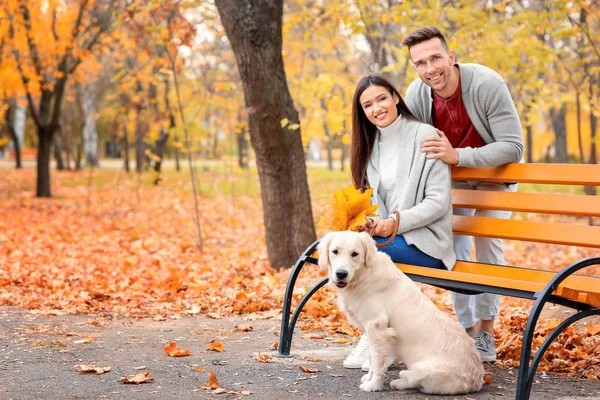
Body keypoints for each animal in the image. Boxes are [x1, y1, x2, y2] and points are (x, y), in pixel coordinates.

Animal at [318, 231, 482, 394]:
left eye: (355, 254)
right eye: (335, 251)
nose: (341, 274)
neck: (364, 275)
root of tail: (477, 380)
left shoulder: (378, 329)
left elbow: (377, 362)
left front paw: (374, 385)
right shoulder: (371, 331)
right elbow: (372, 358)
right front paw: (369, 378)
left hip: (426, 368)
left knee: (417, 381)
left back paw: (399, 381)